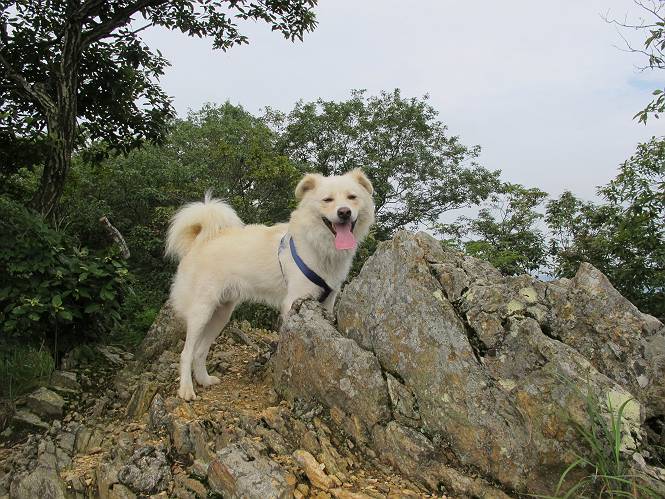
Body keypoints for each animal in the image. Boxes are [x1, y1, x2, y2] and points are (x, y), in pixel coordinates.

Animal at [165, 169, 375, 400]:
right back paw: (186, 389)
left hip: (221, 314)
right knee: (186, 353)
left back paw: (204, 380)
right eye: (327, 200)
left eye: (352, 197)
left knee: (200, 351)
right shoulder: (294, 301)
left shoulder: (327, 301)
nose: (344, 212)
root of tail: (201, 240)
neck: (319, 246)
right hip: (201, 312)